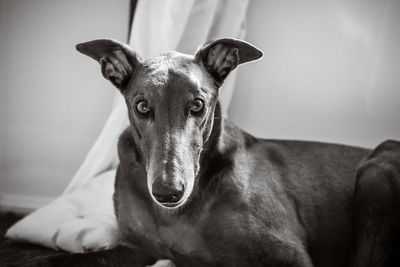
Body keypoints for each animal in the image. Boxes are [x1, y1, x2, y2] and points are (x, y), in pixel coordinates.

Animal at [69, 38, 400, 267]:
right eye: (141, 106)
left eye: (198, 104)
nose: (168, 193)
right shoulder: (135, 249)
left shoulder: (290, 255)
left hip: (378, 168)